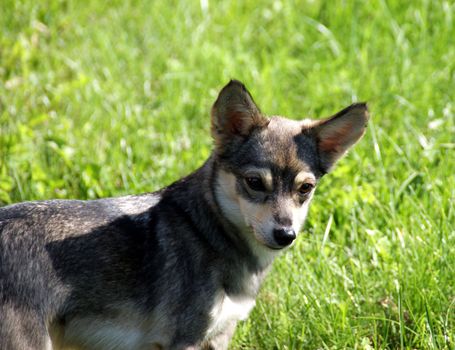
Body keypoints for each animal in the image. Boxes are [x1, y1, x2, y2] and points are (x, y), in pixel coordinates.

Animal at [0, 80, 368, 348]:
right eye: (254, 183)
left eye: (305, 189)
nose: (286, 234)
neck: (207, 232)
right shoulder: (186, 340)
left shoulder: (219, 336)